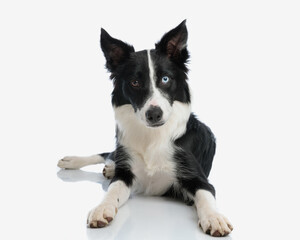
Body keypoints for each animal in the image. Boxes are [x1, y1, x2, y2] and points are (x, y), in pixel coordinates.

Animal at [58, 21, 232, 238]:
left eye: (165, 79)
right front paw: (102, 208)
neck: (152, 136)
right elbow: (113, 190)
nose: (154, 114)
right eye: (135, 82)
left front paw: (214, 218)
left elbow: (205, 195)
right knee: (108, 154)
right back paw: (73, 161)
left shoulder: (197, 178)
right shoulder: (126, 174)